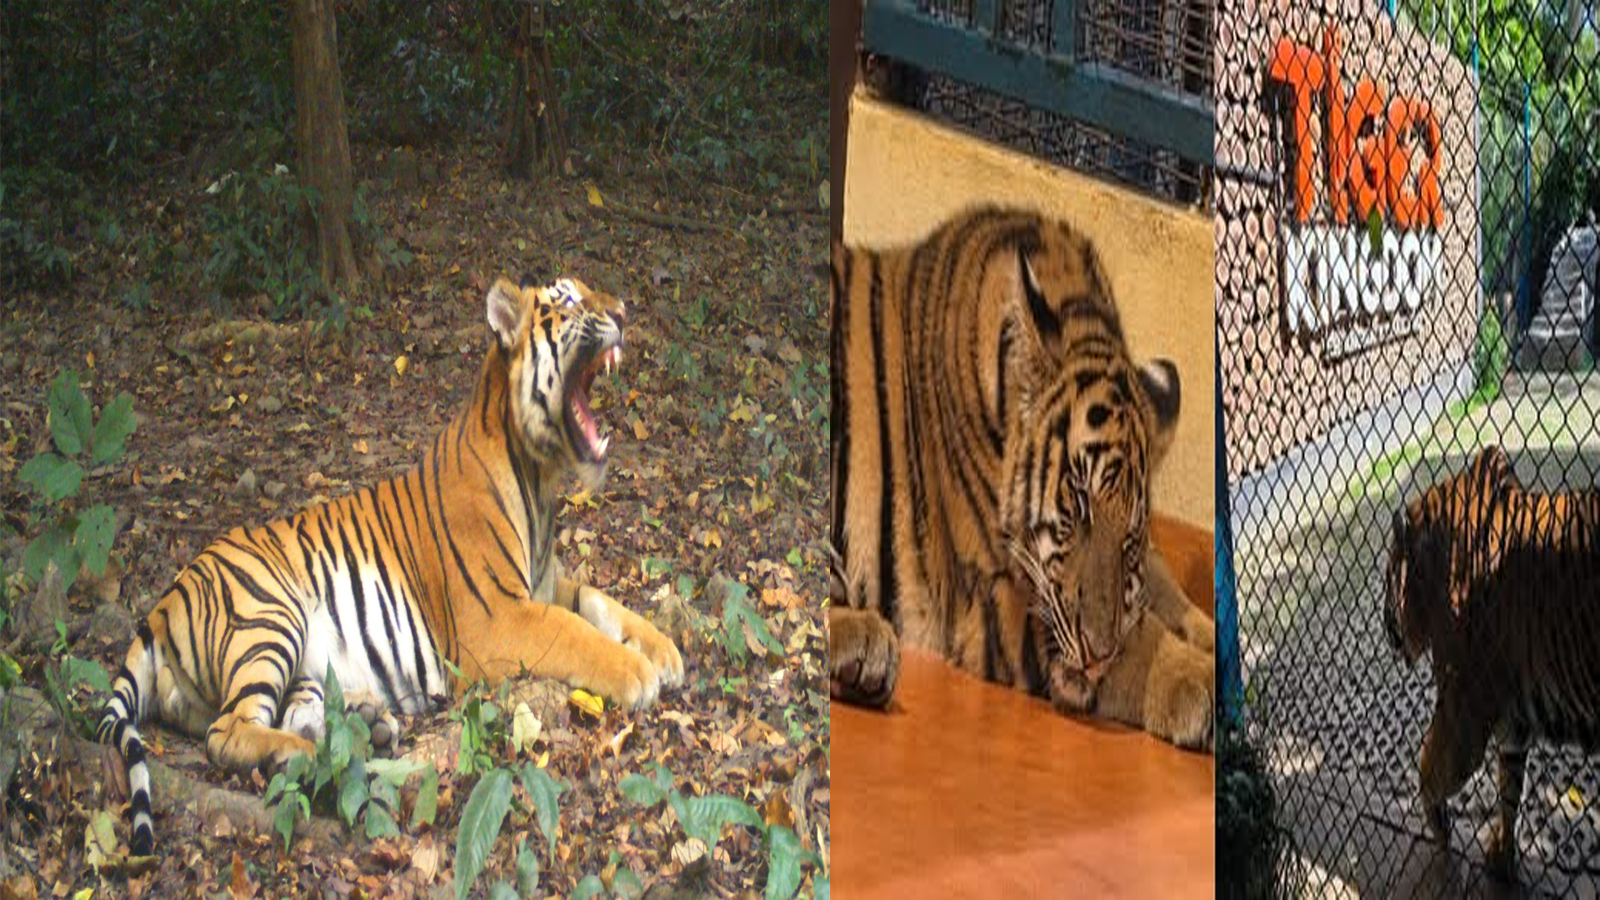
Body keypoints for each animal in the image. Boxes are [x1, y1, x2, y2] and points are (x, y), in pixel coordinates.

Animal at [97, 276, 685, 855]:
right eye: (567, 300)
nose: (624, 311)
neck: (541, 478)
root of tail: (164, 602)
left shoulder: (544, 586)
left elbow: (602, 603)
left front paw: (666, 653)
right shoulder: (496, 619)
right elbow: (575, 633)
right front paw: (637, 673)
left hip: (300, 662)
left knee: (293, 713)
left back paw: (368, 725)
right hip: (268, 616)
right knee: (227, 732)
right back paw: (310, 755)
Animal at [829, 206, 1215, 751]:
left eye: (1129, 538)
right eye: (1078, 505)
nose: (1095, 654)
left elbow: (1166, 597)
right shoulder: (1004, 599)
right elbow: (1141, 644)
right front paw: (1199, 681)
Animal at [1383, 444, 1600, 879]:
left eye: (1385, 580)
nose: (1383, 624)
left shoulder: (1462, 712)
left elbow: (1427, 769)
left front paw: (1440, 829)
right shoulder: (1511, 719)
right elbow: (1510, 787)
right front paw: (1502, 854)